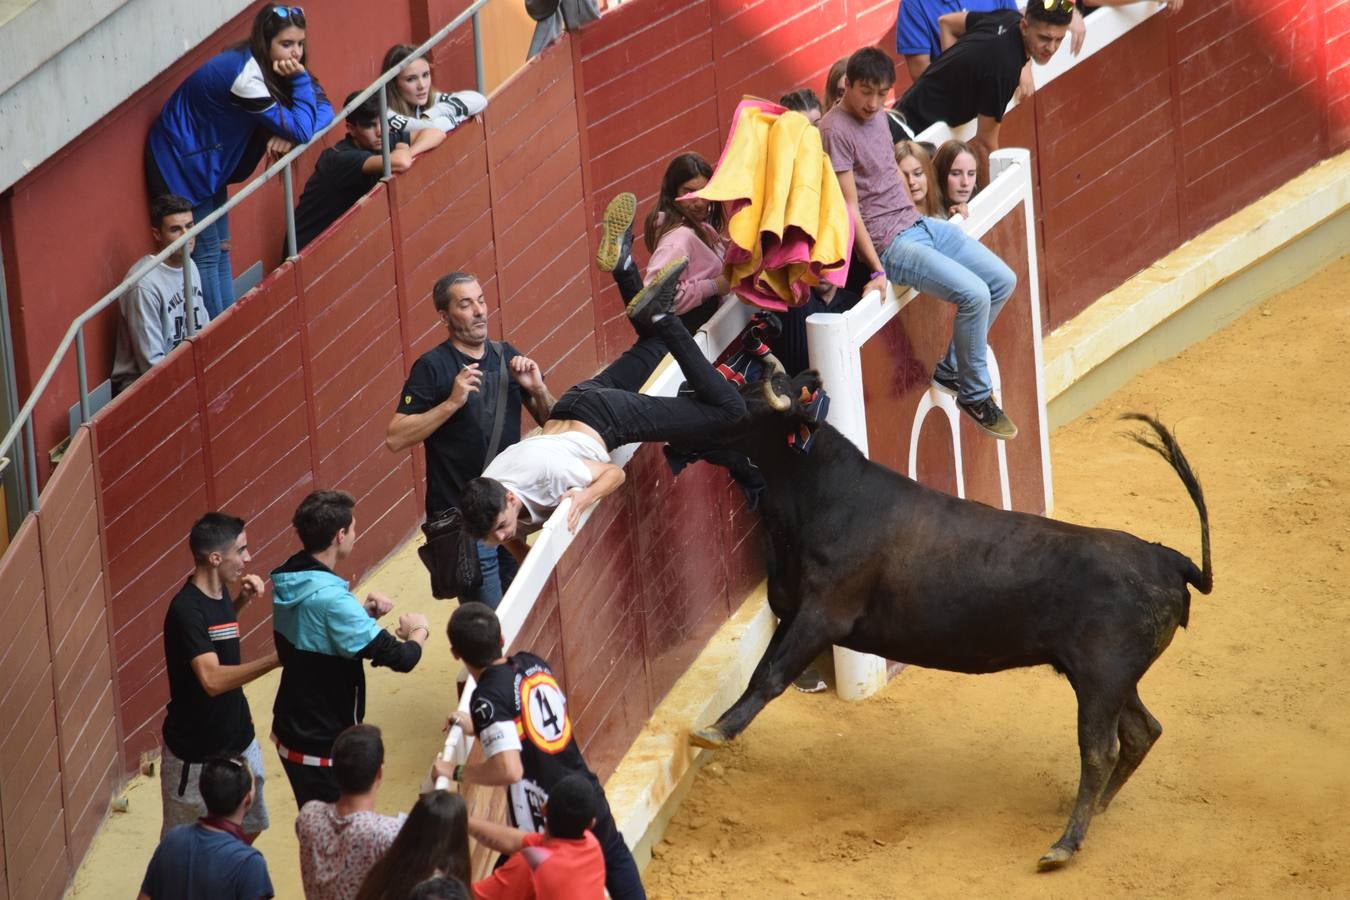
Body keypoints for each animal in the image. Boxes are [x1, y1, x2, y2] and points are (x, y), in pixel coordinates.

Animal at [685, 369, 1215, 868]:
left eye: (745, 409)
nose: (683, 423)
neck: (825, 494)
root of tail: (1169, 560)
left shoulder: (822, 615)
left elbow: (770, 676)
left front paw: (712, 732)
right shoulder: (792, 609)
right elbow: (759, 671)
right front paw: (716, 724)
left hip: (1101, 678)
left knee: (1100, 749)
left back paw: (1064, 845)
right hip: (1107, 678)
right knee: (1142, 731)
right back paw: (1096, 811)